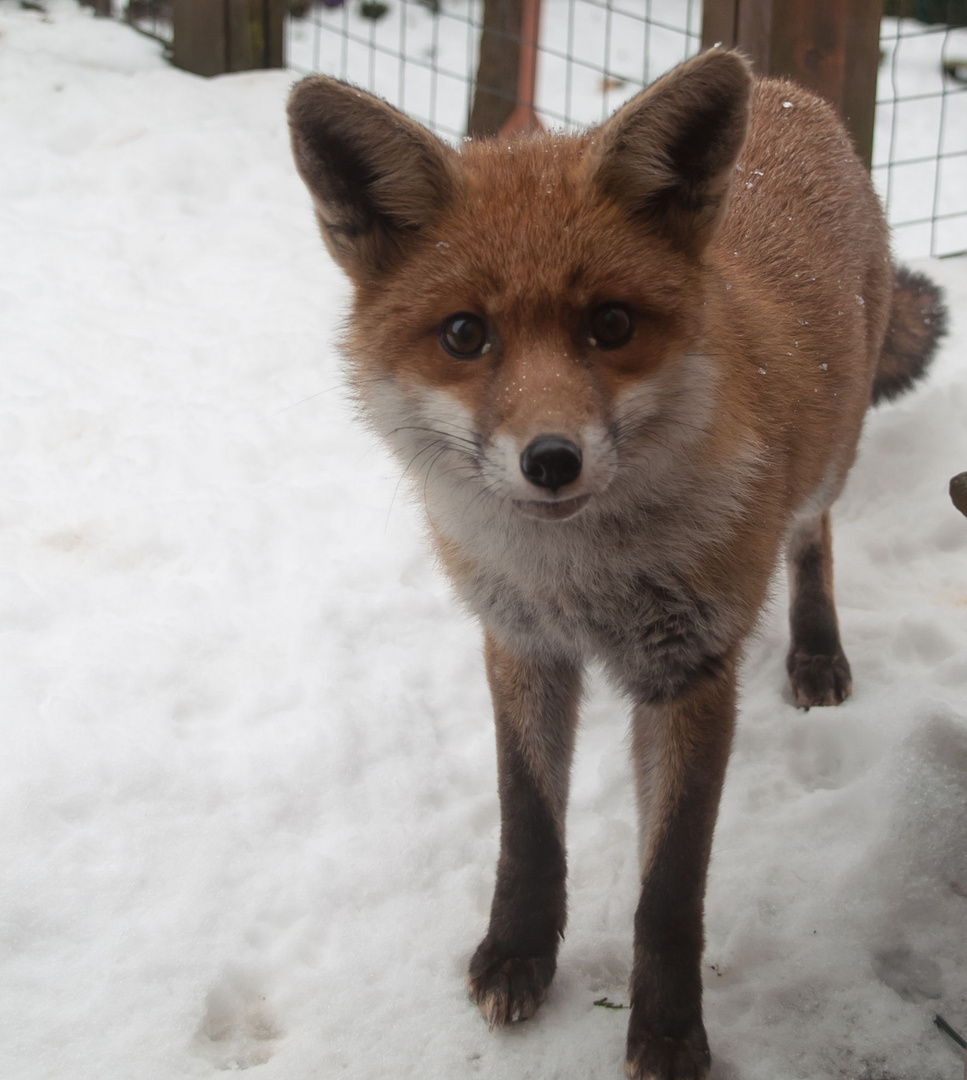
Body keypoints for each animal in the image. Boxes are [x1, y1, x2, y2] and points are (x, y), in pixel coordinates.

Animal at [285, 50, 946, 1080]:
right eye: (465, 334)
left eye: (609, 324)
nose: (551, 460)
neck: (578, 580)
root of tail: (788, 89)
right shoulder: (518, 643)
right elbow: (526, 825)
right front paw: (516, 951)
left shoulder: (693, 670)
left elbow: (669, 889)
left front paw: (668, 1032)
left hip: (828, 462)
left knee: (815, 536)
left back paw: (815, 651)